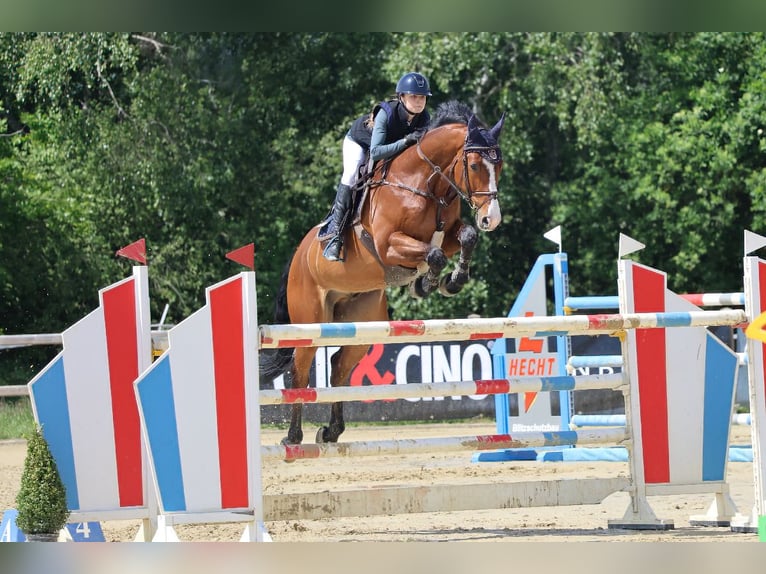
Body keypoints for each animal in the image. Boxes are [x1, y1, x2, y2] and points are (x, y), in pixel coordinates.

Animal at [260, 101, 508, 448]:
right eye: (473, 166)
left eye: (499, 167)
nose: (491, 219)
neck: (424, 184)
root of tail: (298, 256)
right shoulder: (389, 245)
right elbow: (432, 255)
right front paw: (426, 283)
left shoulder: (447, 235)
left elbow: (466, 237)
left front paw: (449, 282)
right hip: (309, 320)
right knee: (300, 369)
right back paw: (293, 437)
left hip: (360, 318)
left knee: (339, 367)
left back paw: (331, 431)